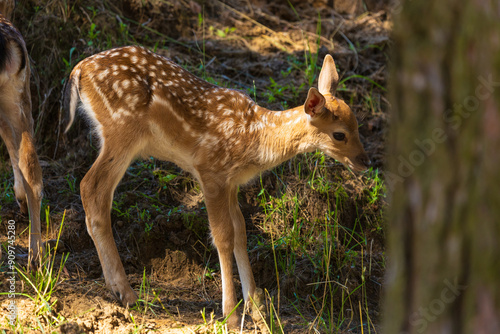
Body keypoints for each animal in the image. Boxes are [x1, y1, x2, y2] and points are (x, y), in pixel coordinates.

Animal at [64, 47, 370, 326]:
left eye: (358, 124)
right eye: (339, 134)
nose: (365, 162)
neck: (255, 139)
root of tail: (78, 70)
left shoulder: (232, 183)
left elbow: (241, 233)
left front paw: (256, 308)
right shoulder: (210, 172)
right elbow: (223, 237)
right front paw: (231, 315)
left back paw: (116, 289)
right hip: (122, 129)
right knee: (91, 187)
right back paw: (125, 293)